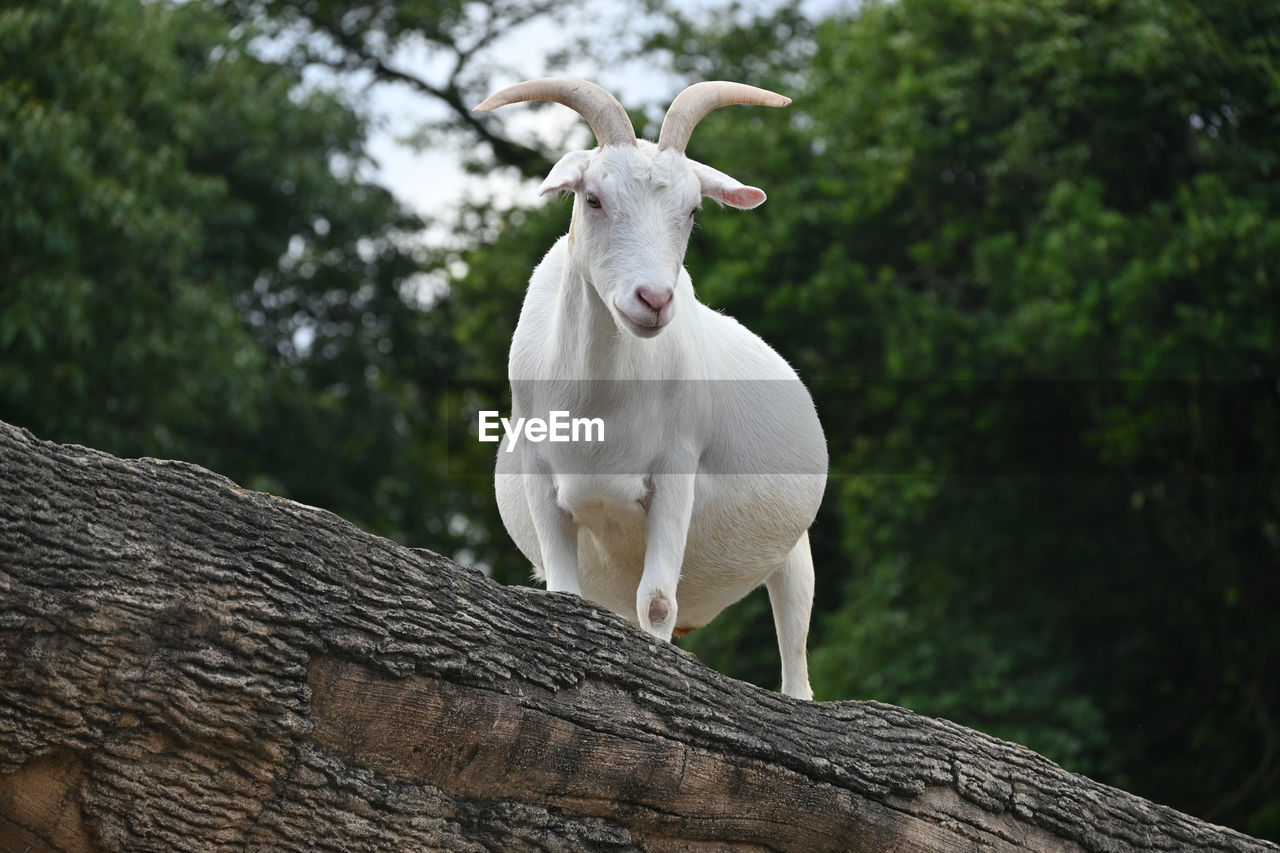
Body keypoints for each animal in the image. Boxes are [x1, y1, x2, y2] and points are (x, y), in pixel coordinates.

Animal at [476, 76, 824, 696]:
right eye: (592, 198)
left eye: (691, 210)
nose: (654, 299)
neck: (596, 405)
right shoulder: (541, 477)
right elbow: (565, 596)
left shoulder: (675, 469)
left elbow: (658, 602)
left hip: (795, 549)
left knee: (795, 648)